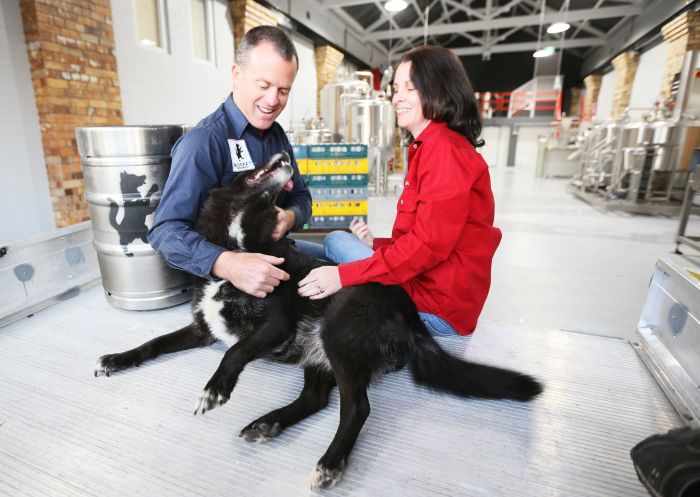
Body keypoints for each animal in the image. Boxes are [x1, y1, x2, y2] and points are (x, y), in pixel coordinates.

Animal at [94, 151, 540, 488]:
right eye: (245, 167)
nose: (284, 154)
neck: (241, 243)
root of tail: (409, 311)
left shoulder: (275, 327)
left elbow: (233, 352)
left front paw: (215, 389)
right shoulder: (203, 329)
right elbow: (153, 343)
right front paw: (117, 358)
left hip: (336, 331)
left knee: (357, 408)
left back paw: (329, 462)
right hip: (315, 349)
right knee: (316, 399)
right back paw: (269, 423)